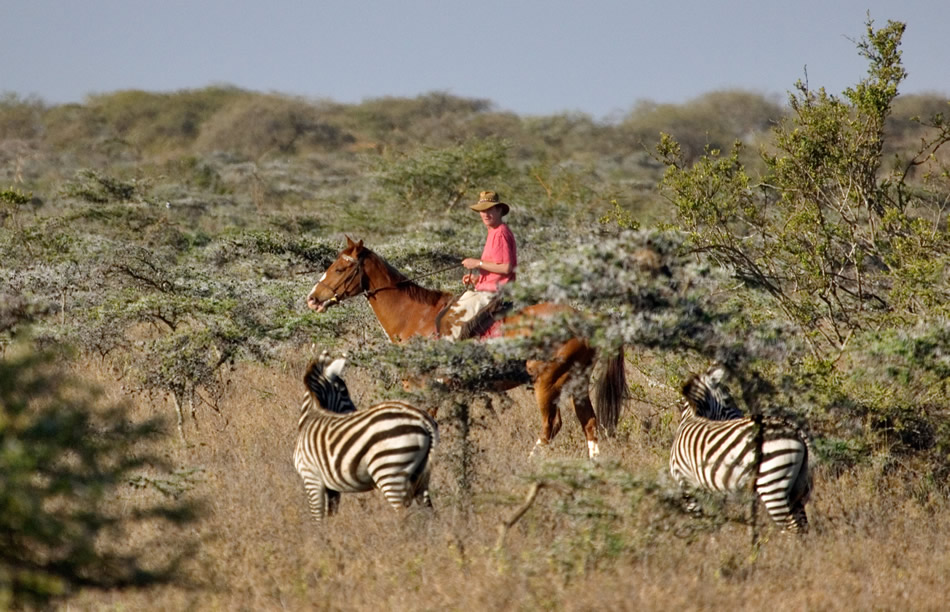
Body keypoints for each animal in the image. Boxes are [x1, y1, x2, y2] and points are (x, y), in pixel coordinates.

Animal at [294, 354, 438, 520]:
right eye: (344, 391)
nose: (354, 411)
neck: (310, 416)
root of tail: (423, 419)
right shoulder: (331, 486)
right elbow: (330, 516)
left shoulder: (311, 478)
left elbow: (317, 518)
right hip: (421, 475)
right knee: (429, 511)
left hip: (390, 471)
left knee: (402, 513)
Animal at [308, 237, 628, 456]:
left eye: (340, 268)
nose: (313, 298)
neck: (416, 317)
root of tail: (587, 317)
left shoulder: (427, 386)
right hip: (576, 383)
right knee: (589, 424)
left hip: (547, 382)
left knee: (552, 426)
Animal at [668, 366, 812, 532]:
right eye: (728, 400)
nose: (742, 416)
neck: (691, 418)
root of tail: (796, 431)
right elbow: (713, 517)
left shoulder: (686, 482)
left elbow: (698, 518)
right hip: (795, 485)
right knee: (803, 526)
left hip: (772, 483)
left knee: (792, 527)